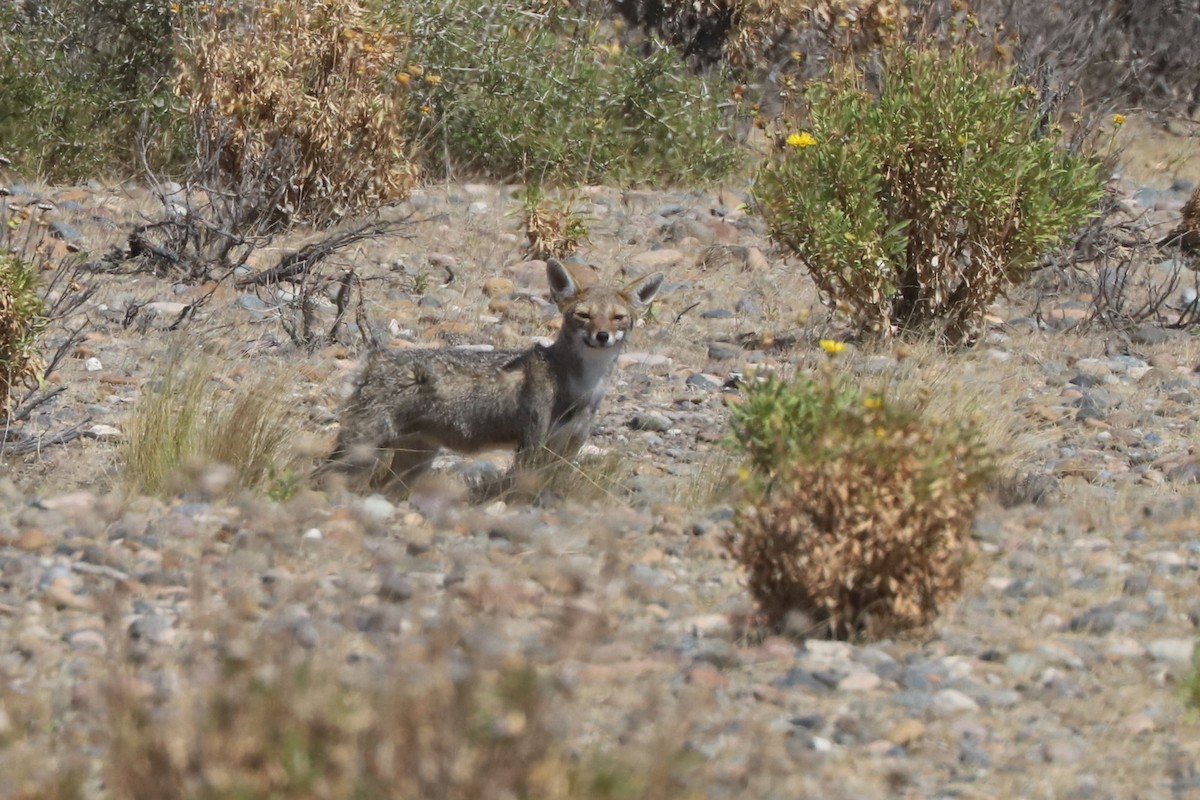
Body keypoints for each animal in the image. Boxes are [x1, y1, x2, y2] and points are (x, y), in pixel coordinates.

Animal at [317, 259, 664, 494]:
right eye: (583, 315)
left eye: (618, 318)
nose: (602, 336)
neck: (582, 384)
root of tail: (377, 357)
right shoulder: (532, 446)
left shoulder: (568, 447)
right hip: (361, 449)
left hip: (414, 461)